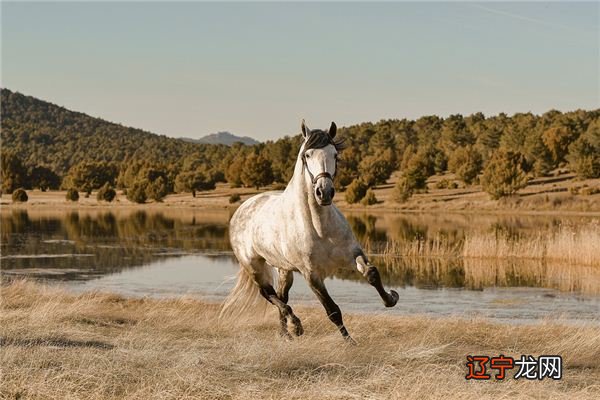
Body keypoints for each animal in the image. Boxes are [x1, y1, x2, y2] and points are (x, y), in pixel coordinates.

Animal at [220, 119, 398, 340]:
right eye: (307, 155)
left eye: (335, 155)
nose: (324, 192)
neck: (319, 227)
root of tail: (242, 208)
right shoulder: (311, 275)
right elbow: (332, 311)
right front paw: (351, 343)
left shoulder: (351, 254)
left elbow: (372, 273)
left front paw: (390, 298)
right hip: (254, 267)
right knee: (269, 294)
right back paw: (295, 326)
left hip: (284, 270)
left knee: (281, 296)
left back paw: (286, 334)